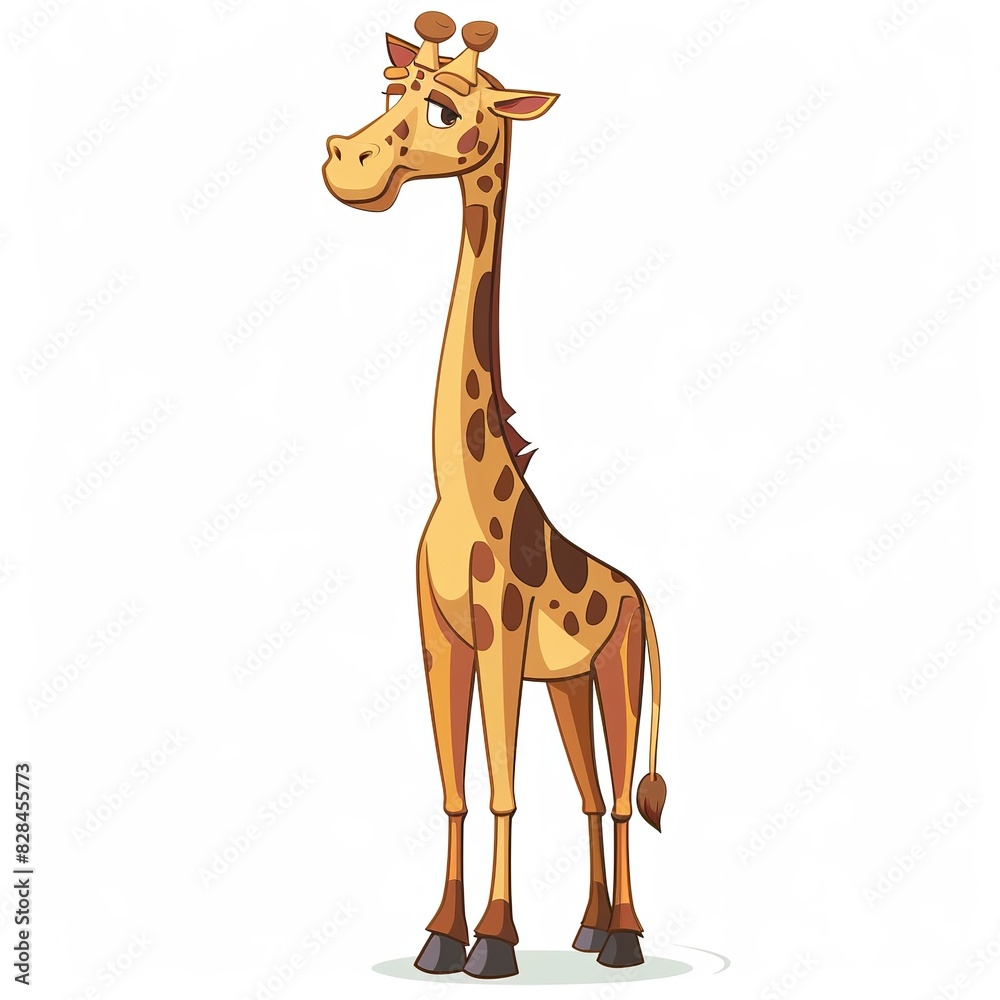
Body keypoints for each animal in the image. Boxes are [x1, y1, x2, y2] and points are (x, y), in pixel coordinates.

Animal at [323, 12, 667, 979]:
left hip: (617, 667)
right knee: (589, 793)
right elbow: (455, 786)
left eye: (445, 107)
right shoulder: (439, 635)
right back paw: (590, 929)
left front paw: (494, 942)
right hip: (568, 684)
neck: (462, 489)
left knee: (619, 794)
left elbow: (504, 785)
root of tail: (639, 593)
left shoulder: (502, 633)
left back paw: (625, 940)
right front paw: (441, 935)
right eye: (387, 90)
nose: (344, 162)